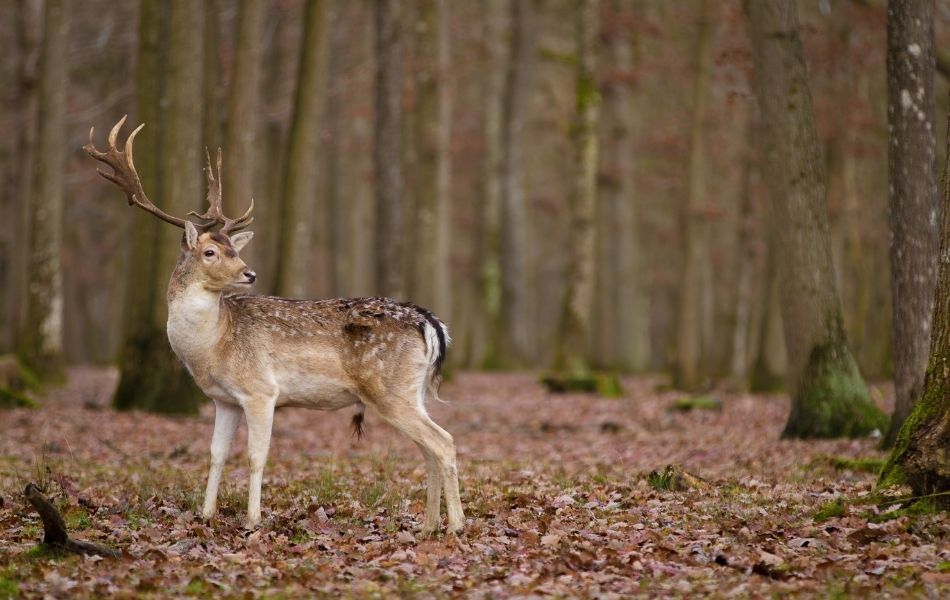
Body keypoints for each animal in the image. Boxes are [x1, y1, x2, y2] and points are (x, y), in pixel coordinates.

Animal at [85, 117, 464, 536]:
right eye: (211, 251)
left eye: (235, 249)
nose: (249, 273)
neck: (213, 346)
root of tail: (430, 322)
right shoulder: (223, 399)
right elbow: (216, 454)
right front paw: (206, 514)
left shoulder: (260, 390)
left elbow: (256, 456)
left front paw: (252, 520)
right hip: (412, 391)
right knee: (429, 448)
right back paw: (429, 525)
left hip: (389, 389)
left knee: (444, 442)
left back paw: (456, 525)